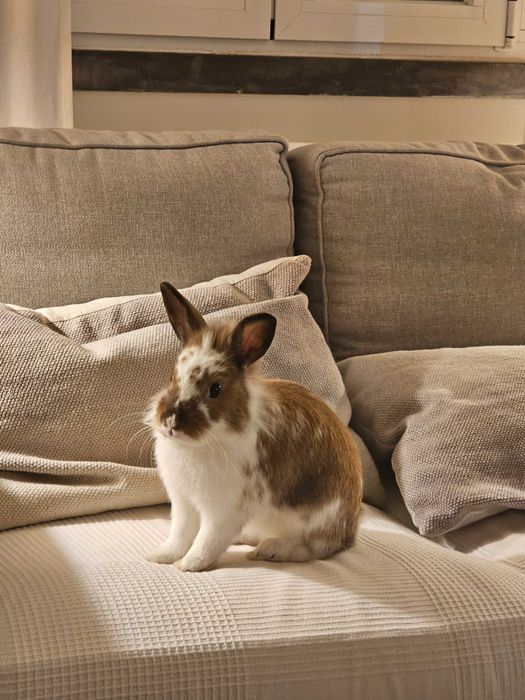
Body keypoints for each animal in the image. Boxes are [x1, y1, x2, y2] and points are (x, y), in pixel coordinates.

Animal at [145, 282, 363, 572]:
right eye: (172, 376)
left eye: (215, 389)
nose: (170, 423)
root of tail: (350, 529)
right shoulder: (184, 504)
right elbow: (180, 535)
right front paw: (160, 556)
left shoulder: (223, 511)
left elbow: (207, 541)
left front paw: (189, 565)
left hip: (320, 520)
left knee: (314, 549)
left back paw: (271, 550)